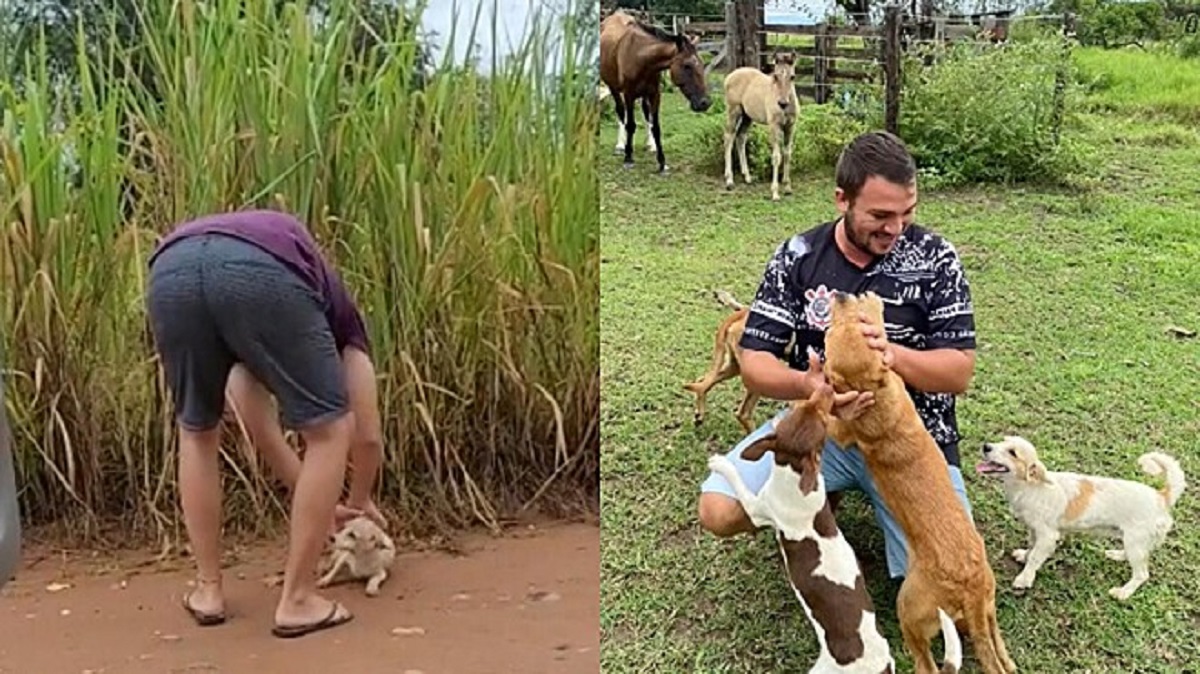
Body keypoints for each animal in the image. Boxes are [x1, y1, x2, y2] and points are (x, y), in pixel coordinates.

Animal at [600, 11, 710, 171]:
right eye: (687, 66)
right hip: (613, 88)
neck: (641, 57)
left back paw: (650, 144)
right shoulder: (629, 95)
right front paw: (628, 158)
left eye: (702, 64)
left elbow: (656, 126)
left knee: (646, 113)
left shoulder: (655, 94)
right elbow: (631, 125)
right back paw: (620, 146)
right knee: (621, 111)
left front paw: (662, 162)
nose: (705, 103)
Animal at [705, 383, 960, 671]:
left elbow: (738, 481)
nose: (825, 387)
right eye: (807, 407)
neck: (793, 472)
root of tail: (881, 666)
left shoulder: (758, 507)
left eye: (823, 418)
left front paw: (720, 463)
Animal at [825, 291, 1012, 671]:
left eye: (846, 325)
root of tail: (970, 590)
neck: (877, 399)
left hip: (919, 608)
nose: (842, 293)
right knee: (993, 649)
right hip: (975, 608)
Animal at [979, 436, 1185, 597]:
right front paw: (1024, 555)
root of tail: (1162, 496)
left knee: (1142, 574)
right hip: (1133, 542)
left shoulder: (1048, 536)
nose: (986, 446)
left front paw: (1024, 579)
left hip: (1136, 542)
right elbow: (1031, 547)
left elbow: (1036, 558)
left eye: (1012, 452)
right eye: (1002, 441)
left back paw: (1123, 593)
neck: (1031, 487)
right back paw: (1117, 555)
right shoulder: (1033, 529)